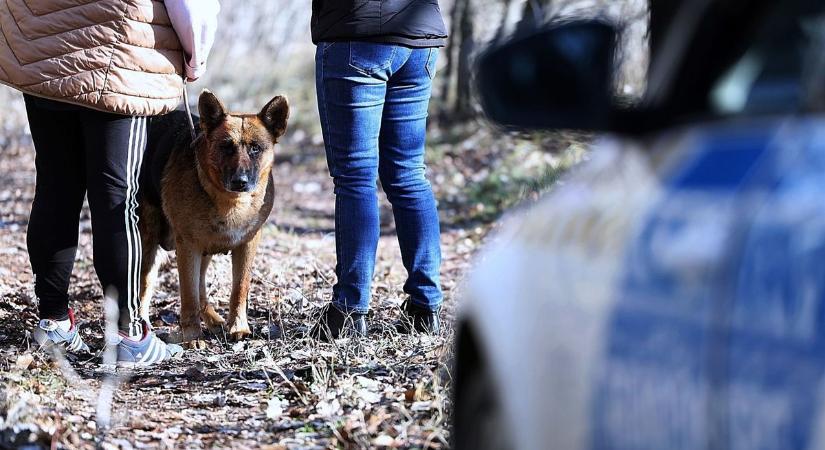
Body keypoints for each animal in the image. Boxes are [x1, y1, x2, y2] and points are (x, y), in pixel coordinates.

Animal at [137, 91, 288, 342]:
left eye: (255, 148)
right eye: (226, 146)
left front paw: (237, 326)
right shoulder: (188, 247)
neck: (230, 202)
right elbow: (188, 295)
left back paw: (212, 319)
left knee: (200, 287)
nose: (240, 182)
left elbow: (239, 288)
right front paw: (191, 336)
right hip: (150, 242)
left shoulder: (247, 244)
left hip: (203, 247)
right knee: (143, 284)